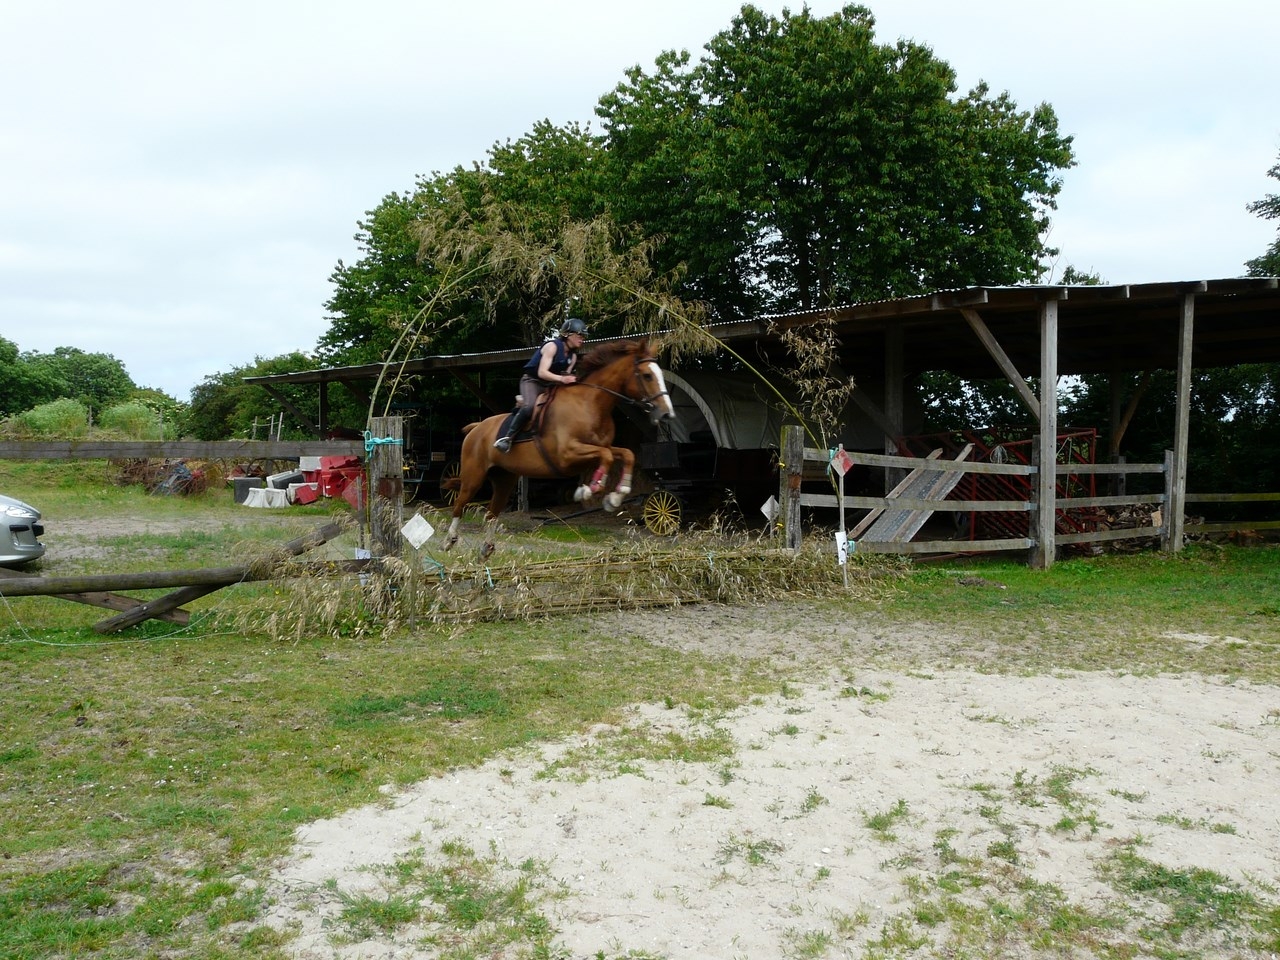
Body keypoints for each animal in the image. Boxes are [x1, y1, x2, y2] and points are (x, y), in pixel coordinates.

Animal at [442, 337, 680, 555]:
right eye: (648, 375)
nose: (667, 414)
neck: (591, 403)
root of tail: (477, 427)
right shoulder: (566, 455)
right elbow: (606, 456)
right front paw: (587, 490)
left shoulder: (598, 447)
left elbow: (625, 454)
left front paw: (615, 496)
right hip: (473, 476)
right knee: (460, 504)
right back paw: (449, 540)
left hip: (504, 479)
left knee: (491, 513)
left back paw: (486, 549)